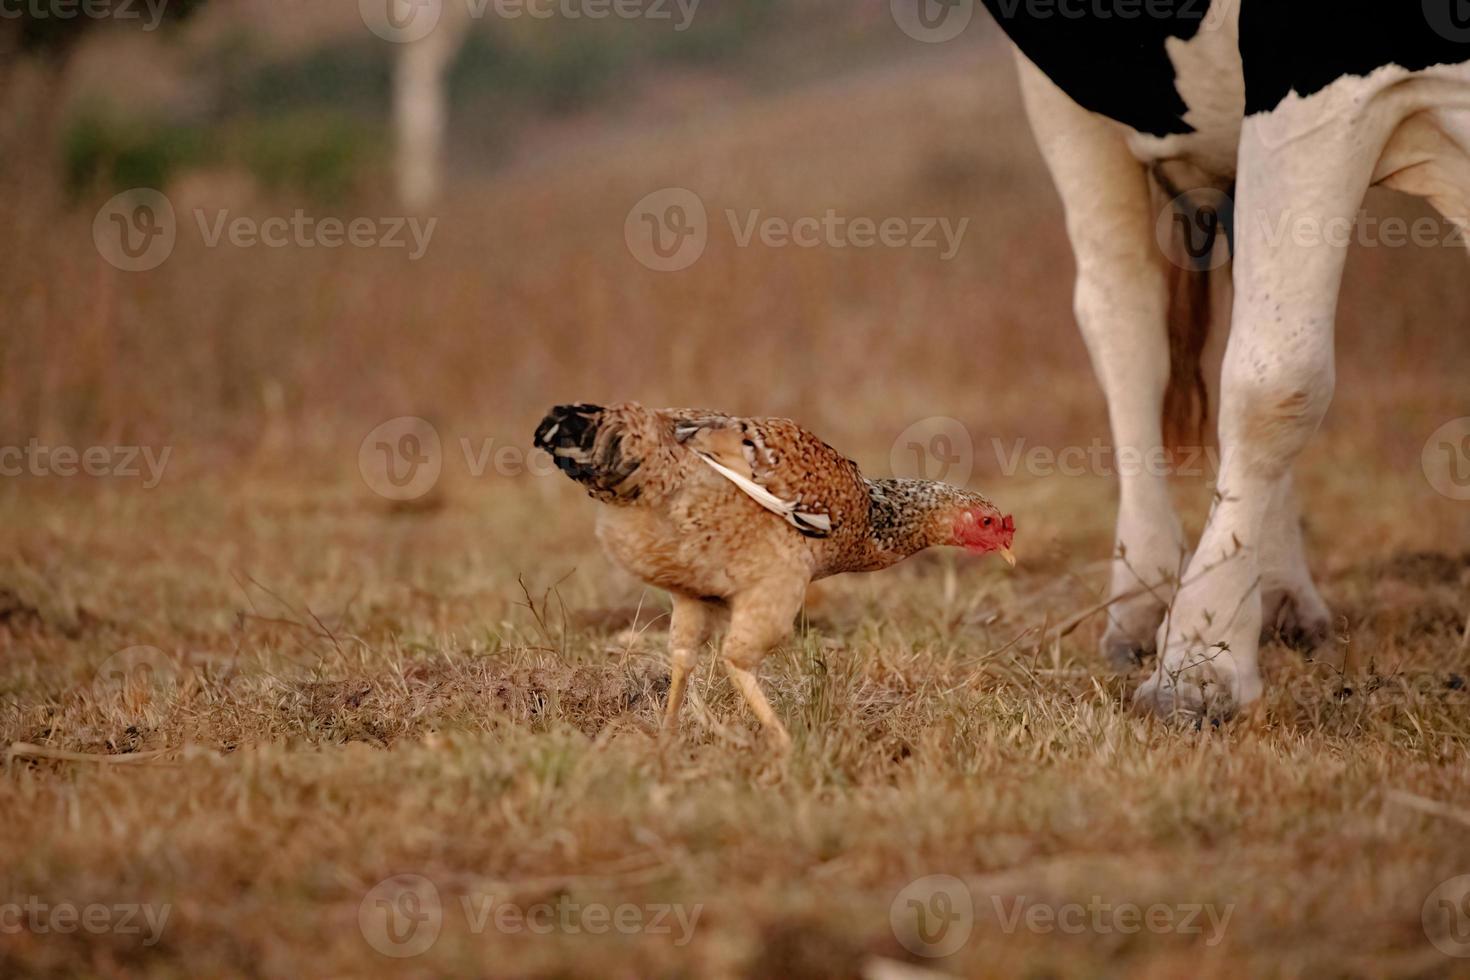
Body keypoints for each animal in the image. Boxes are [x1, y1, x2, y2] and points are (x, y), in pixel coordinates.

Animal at [976, 1, 1470, 719]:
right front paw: (1199, 661)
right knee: (1121, 308)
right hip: (1065, 88)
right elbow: (1282, 382)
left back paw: (1280, 594)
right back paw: (1143, 596)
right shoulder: (1313, 77)